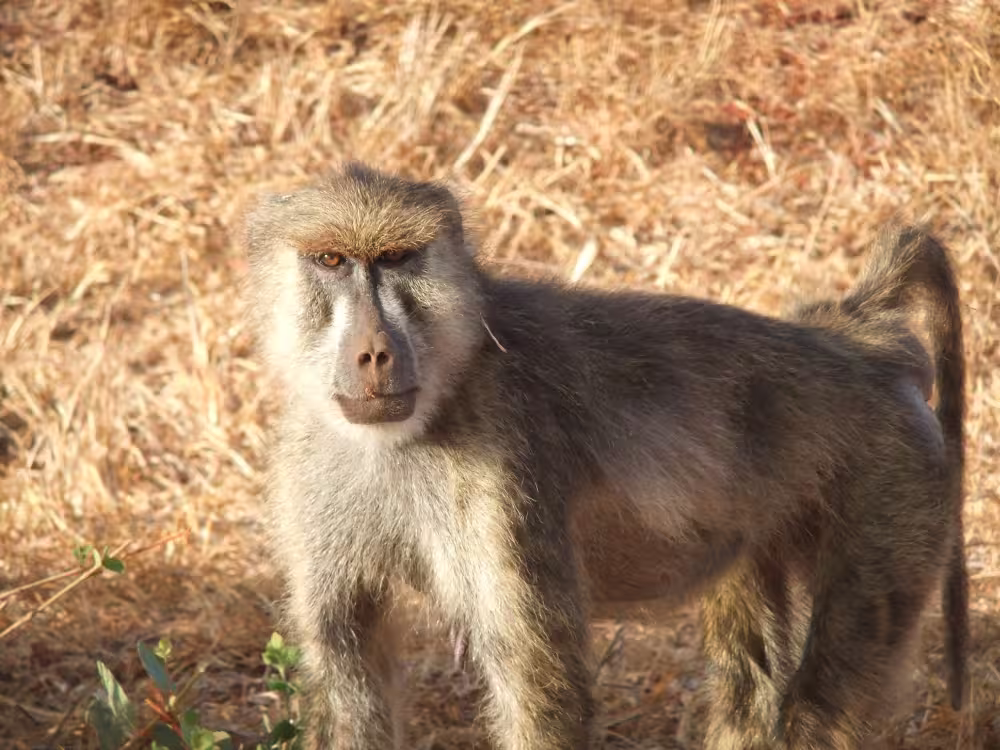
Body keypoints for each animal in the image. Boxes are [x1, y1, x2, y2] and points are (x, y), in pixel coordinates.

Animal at [241, 162, 967, 750]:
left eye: (397, 259)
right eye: (331, 261)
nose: (374, 354)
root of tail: (861, 337)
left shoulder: (507, 475)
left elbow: (538, 681)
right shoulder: (312, 467)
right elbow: (350, 669)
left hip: (893, 489)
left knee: (821, 706)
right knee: (751, 678)